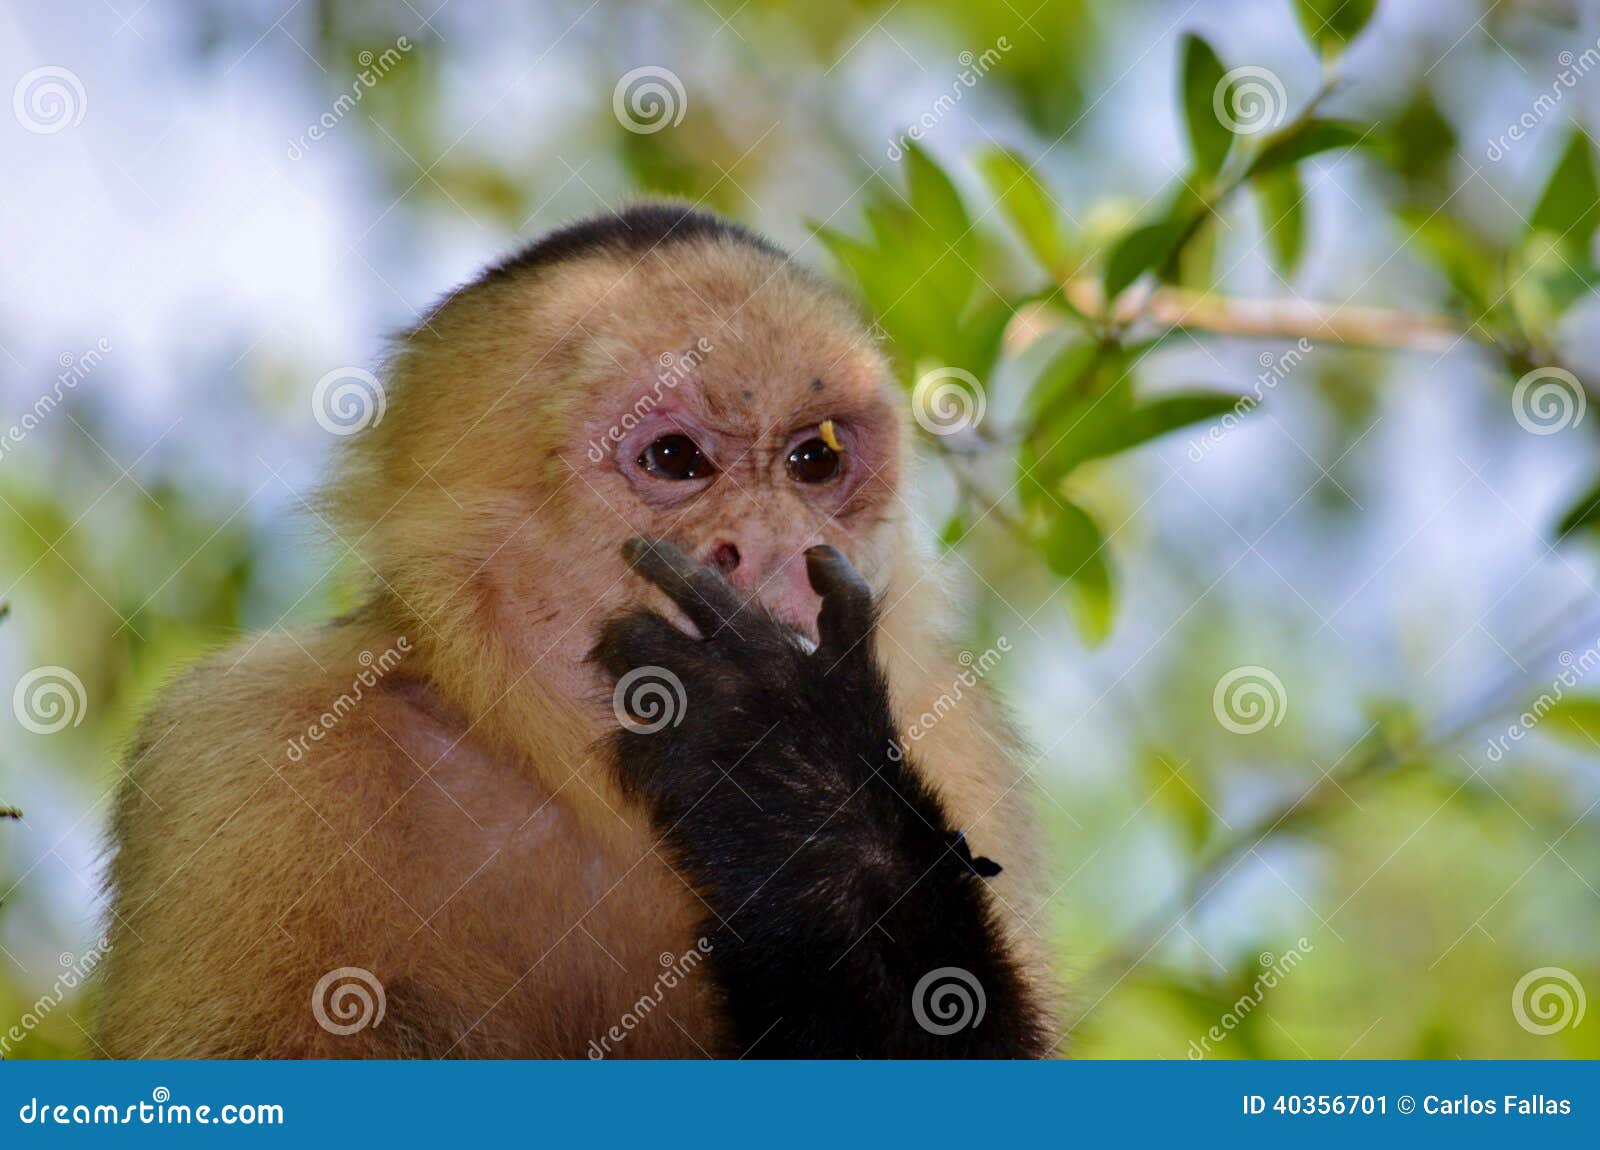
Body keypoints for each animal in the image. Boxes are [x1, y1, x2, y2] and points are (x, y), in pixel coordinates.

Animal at [93, 202, 1056, 1055]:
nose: (775, 546)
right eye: (675, 458)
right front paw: (777, 756)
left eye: (813, 459)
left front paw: (792, 776)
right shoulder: (245, 742)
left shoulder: (950, 733)